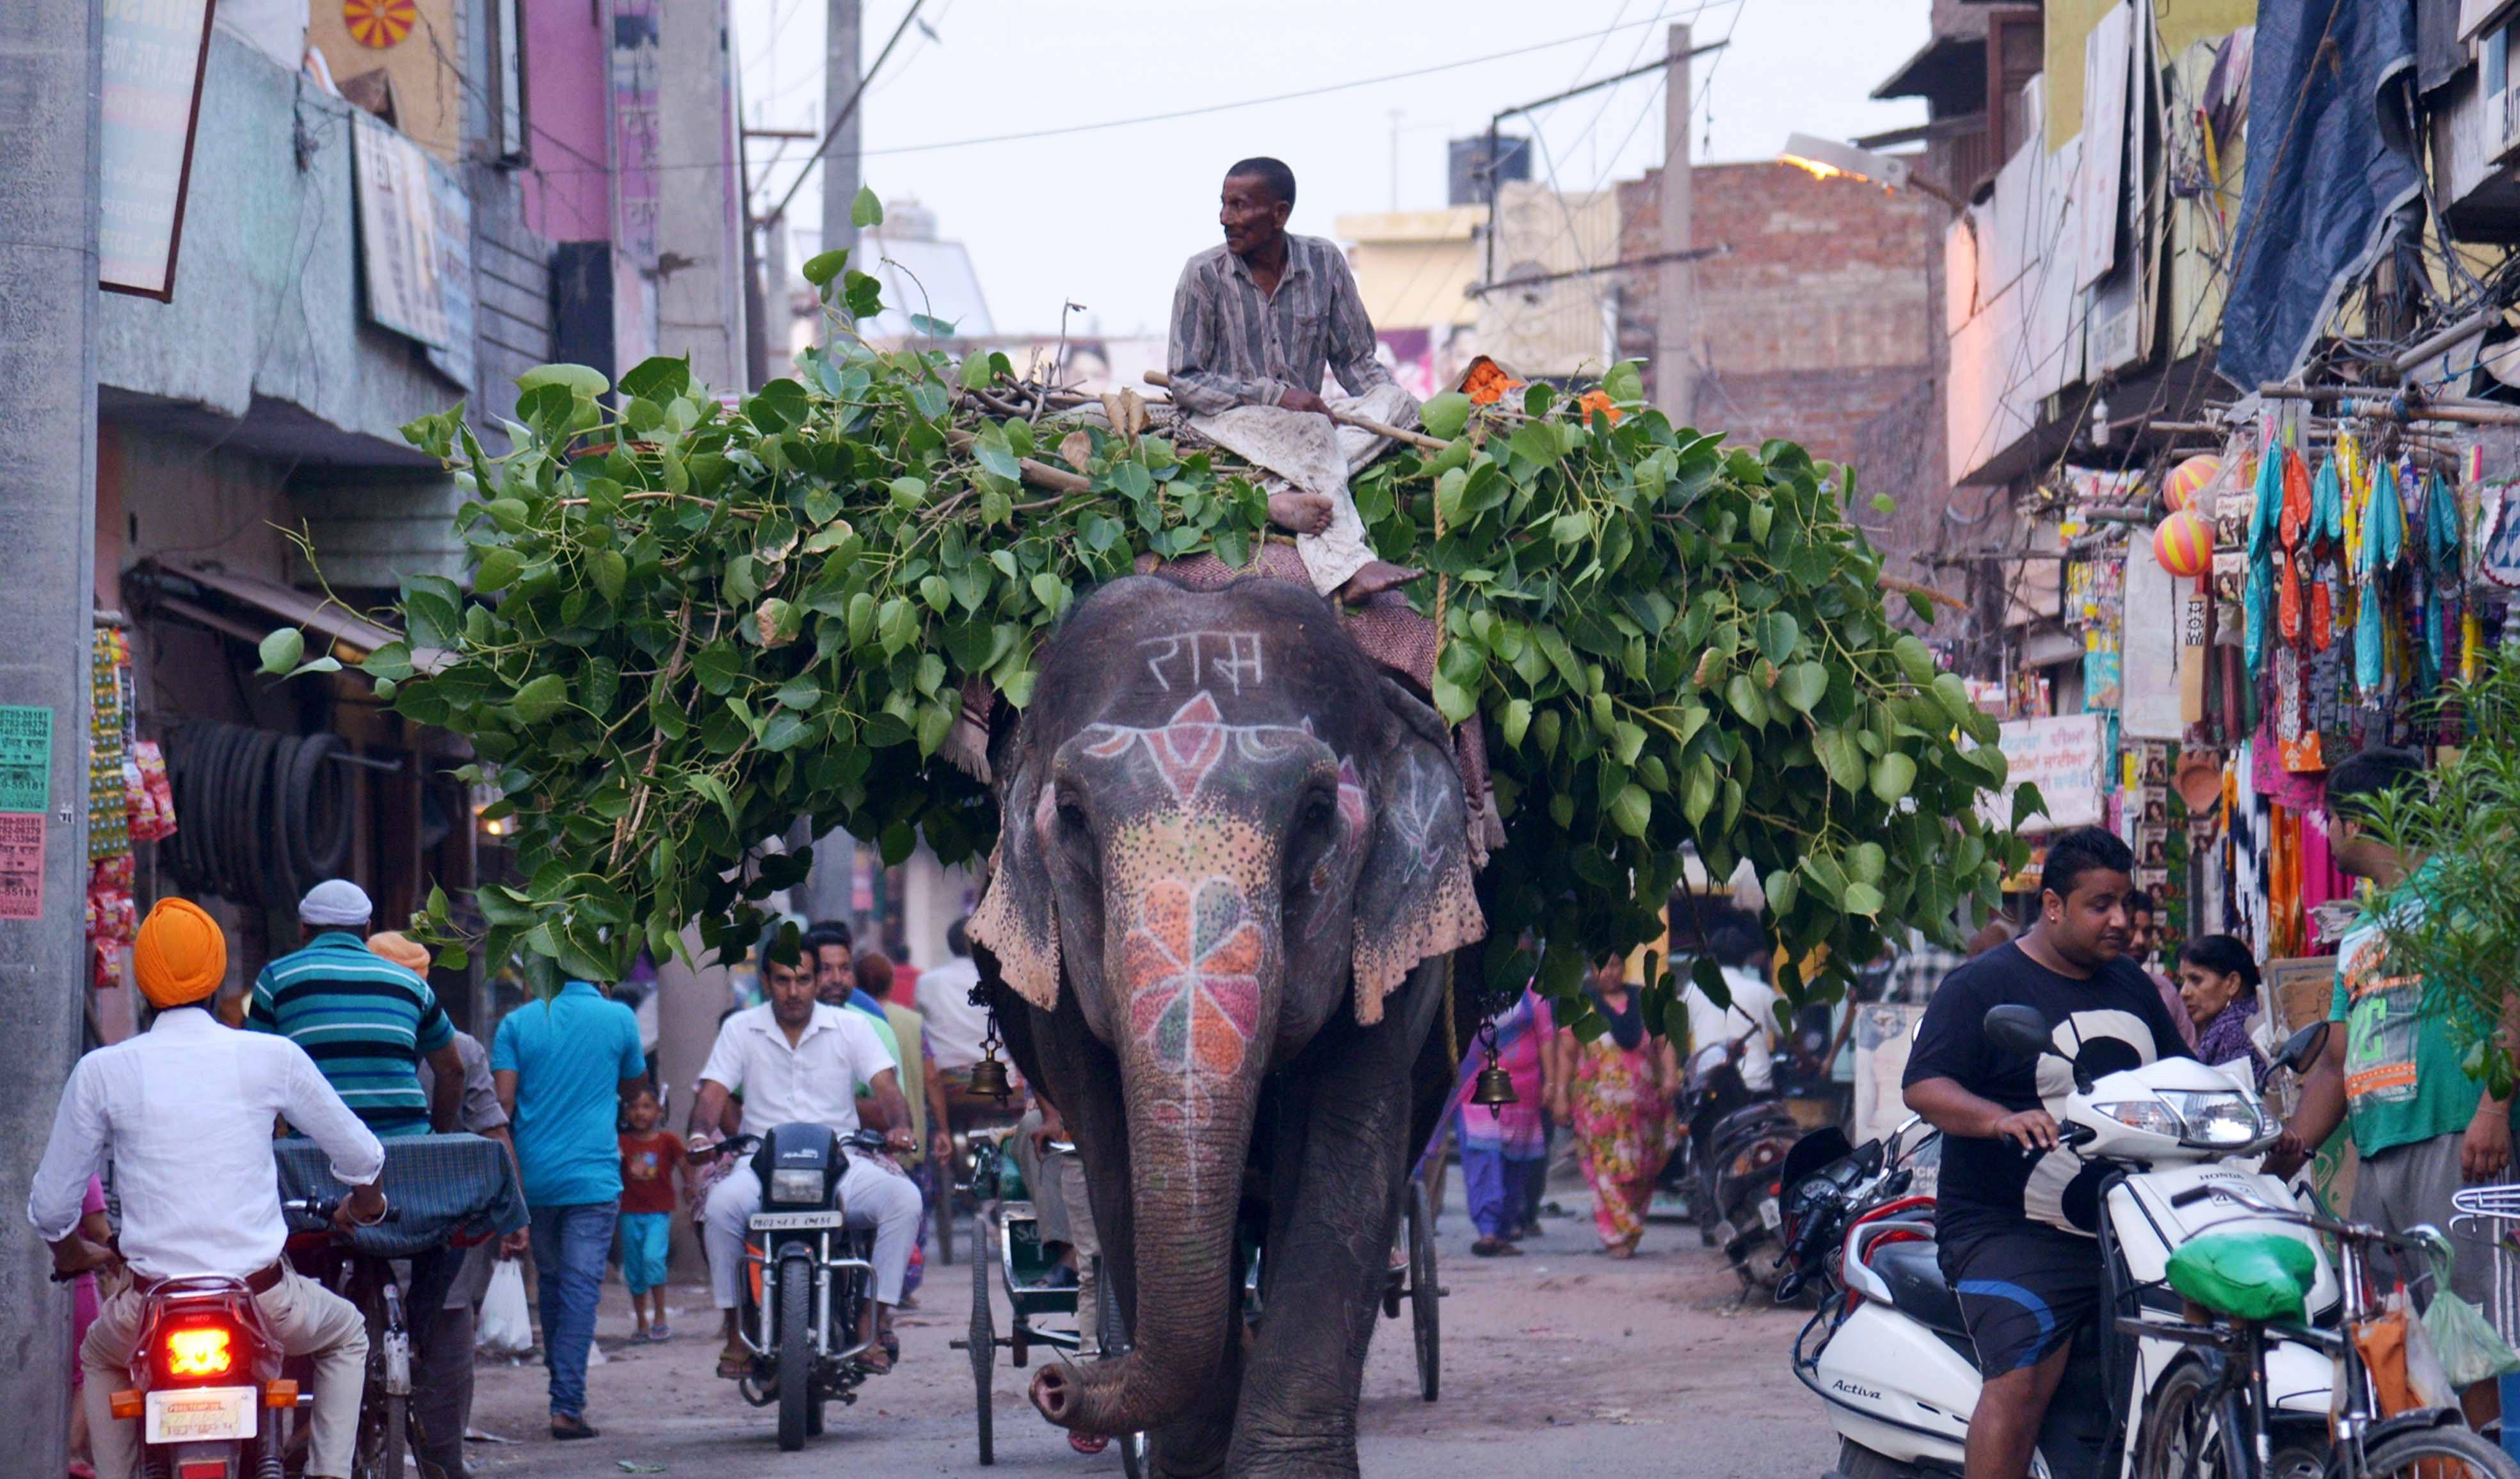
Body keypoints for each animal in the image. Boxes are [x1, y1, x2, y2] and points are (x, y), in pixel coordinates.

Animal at [958, 572, 1472, 1471]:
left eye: (1315, 811)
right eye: (1072, 813)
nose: (1054, 1385)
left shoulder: (1394, 961)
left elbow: (1349, 1158)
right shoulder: (1061, 1002)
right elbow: (1113, 1170)